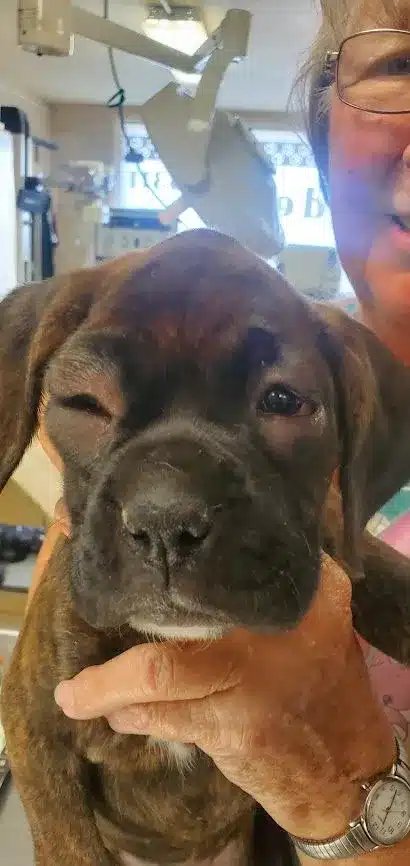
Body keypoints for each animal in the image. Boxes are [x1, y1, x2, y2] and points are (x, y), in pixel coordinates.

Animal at [2, 228, 410, 866]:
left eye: (284, 401)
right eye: (84, 403)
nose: (166, 517)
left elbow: (361, 550)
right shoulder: (34, 723)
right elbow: (71, 845)